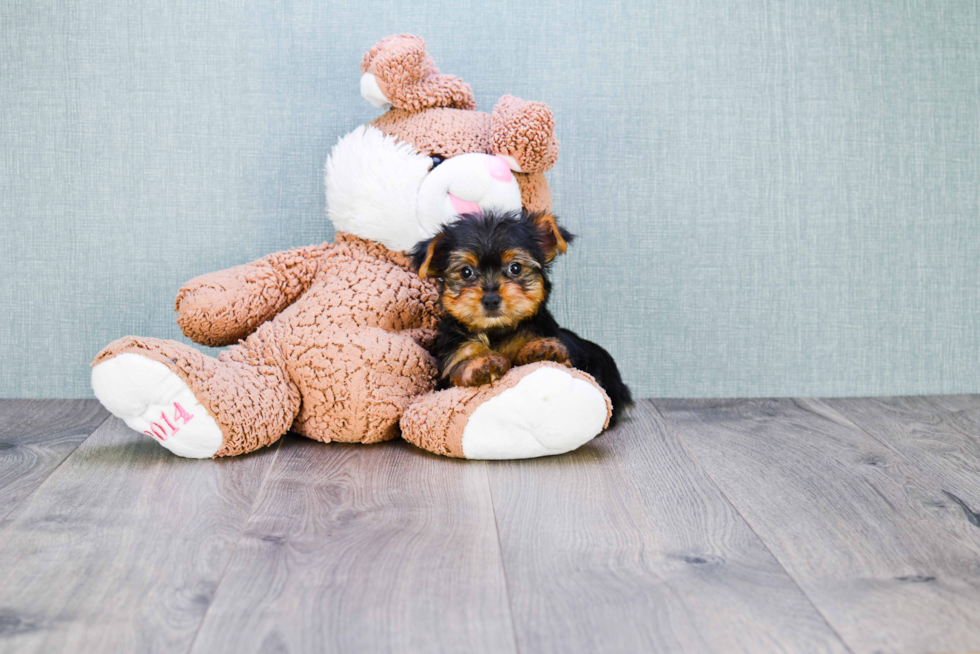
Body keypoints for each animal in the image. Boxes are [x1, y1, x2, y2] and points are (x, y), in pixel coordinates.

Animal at [408, 208, 632, 428]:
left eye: (515, 268)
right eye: (466, 272)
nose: (490, 299)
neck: (497, 330)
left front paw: (542, 348)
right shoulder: (454, 352)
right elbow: (464, 358)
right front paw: (482, 362)